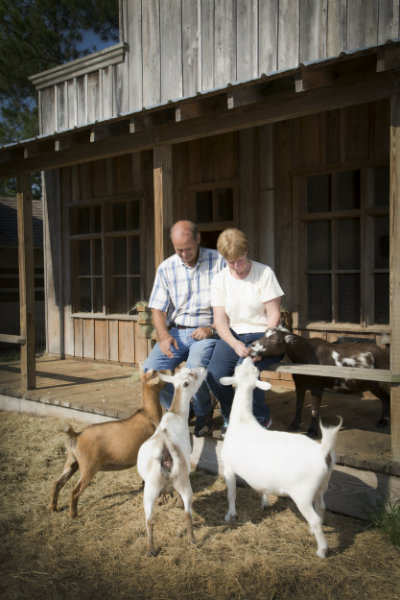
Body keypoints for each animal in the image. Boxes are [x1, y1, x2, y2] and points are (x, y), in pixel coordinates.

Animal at [49, 366, 166, 516]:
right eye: (157, 373)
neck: (148, 413)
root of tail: (76, 435)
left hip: (71, 462)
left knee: (57, 483)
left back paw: (53, 508)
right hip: (89, 466)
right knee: (75, 491)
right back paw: (74, 515)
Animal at [137, 366, 206, 556]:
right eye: (193, 375)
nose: (204, 368)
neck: (176, 415)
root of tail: (166, 451)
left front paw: (164, 497)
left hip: (150, 488)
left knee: (149, 519)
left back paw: (151, 550)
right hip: (183, 481)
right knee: (187, 513)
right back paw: (192, 540)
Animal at [220, 356, 342, 556]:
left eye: (238, 369)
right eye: (249, 370)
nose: (248, 357)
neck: (243, 421)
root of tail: (323, 452)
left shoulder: (229, 468)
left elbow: (231, 494)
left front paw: (230, 515)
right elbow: (261, 489)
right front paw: (265, 504)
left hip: (302, 493)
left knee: (315, 518)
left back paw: (322, 550)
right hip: (321, 486)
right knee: (321, 507)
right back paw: (313, 531)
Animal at [248, 326, 390, 438]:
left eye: (275, 340)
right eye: (264, 334)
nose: (251, 348)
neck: (306, 353)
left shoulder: (316, 386)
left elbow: (314, 409)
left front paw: (312, 431)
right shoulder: (299, 383)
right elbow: (298, 405)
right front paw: (294, 425)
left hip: (383, 383)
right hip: (373, 385)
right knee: (385, 399)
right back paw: (383, 421)